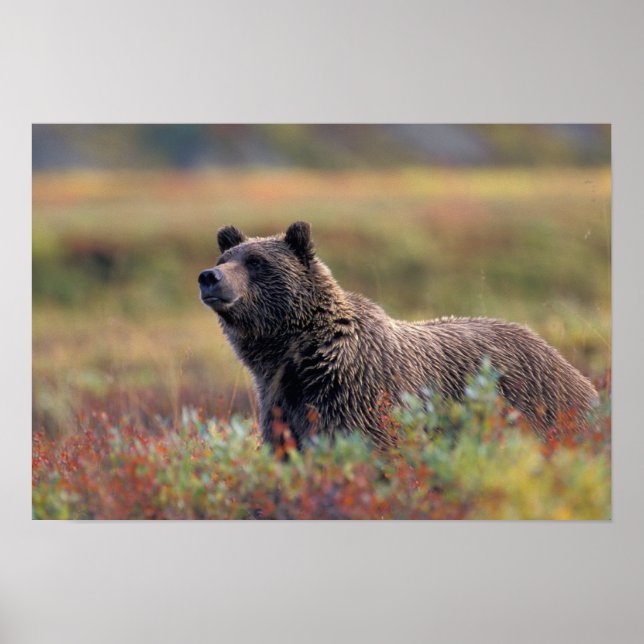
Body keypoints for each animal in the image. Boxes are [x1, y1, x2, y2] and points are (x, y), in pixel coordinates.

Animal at [198, 221, 599, 448]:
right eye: (225, 259)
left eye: (256, 262)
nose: (209, 277)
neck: (300, 353)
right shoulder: (282, 402)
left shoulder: (358, 397)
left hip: (536, 406)